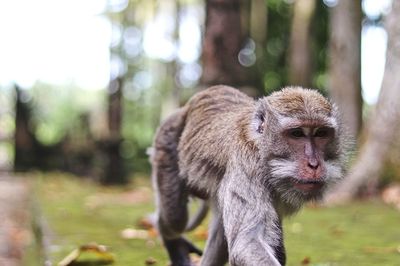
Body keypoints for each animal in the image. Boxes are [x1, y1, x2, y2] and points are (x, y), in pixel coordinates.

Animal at [152, 85, 346, 266]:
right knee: (175, 219)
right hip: (166, 143)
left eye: (321, 133)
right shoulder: (247, 166)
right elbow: (247, 244)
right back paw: (172, 241)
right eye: (297, 133)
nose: (314, 164)